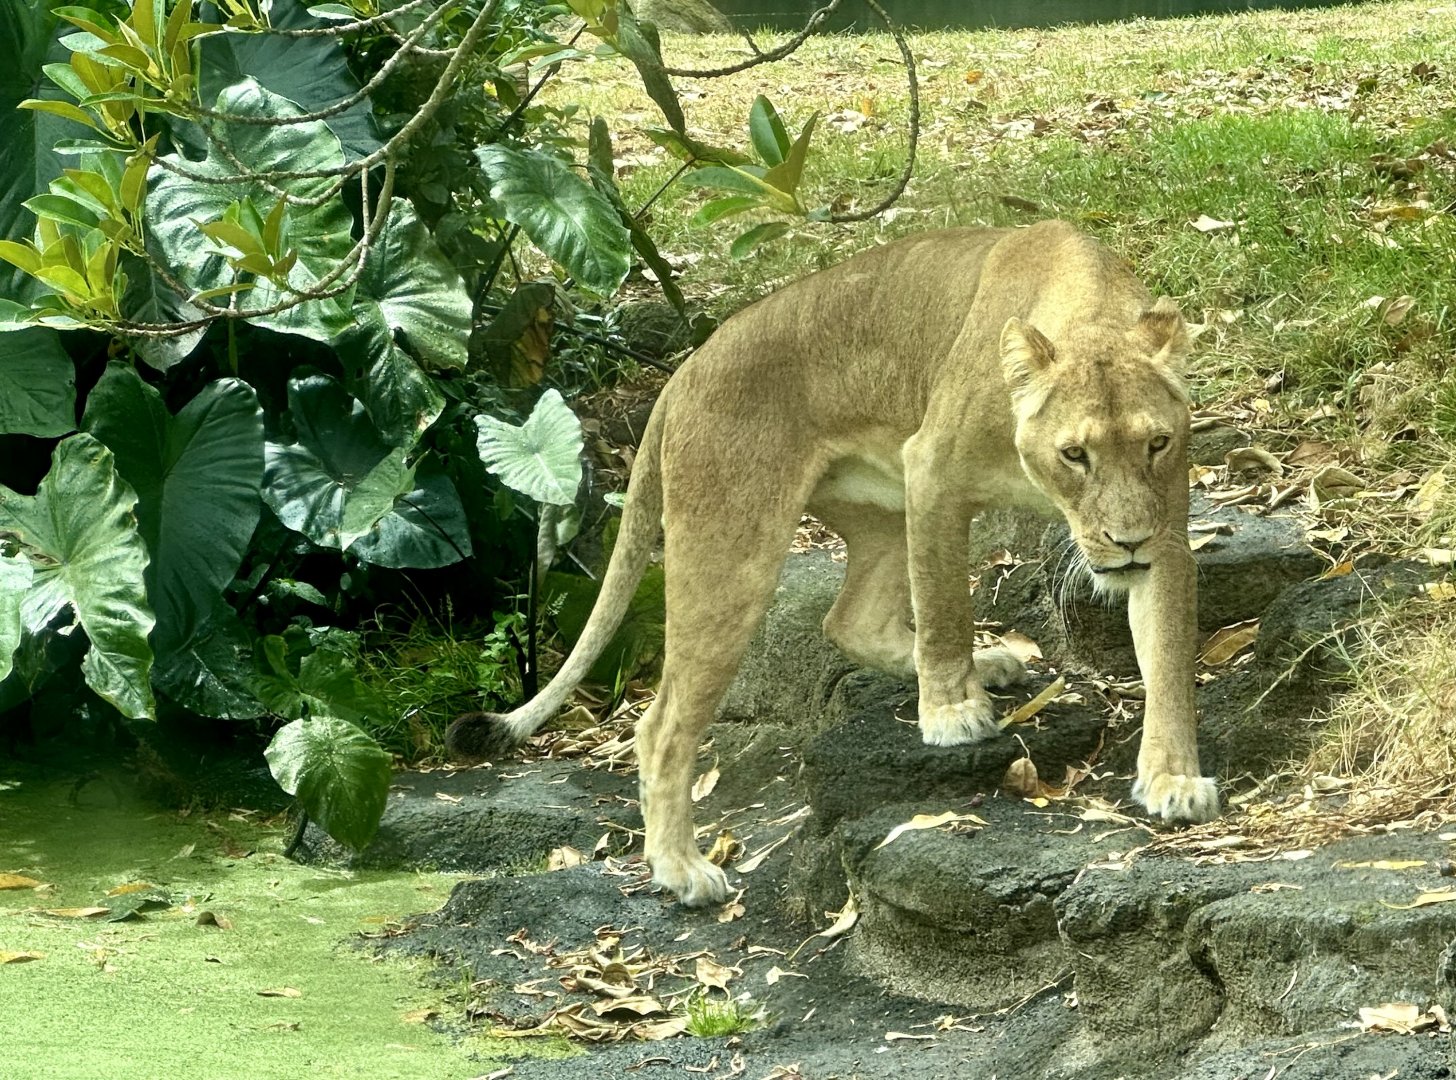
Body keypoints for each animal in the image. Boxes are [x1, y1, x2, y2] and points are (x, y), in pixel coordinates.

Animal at [448, 219, 1219, 907]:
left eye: (1155, 444)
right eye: (1074, 454)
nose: (1125, 543)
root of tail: (684, 372)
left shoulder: (1166, 528)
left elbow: (1169, 660)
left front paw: (1174, 779)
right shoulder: (931, 469)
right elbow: (944, 604)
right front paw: (952, 712)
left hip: (879, 512)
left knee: (848, 622)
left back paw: (995, 660)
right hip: (733, 551)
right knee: (661, 725)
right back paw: (682, 871)